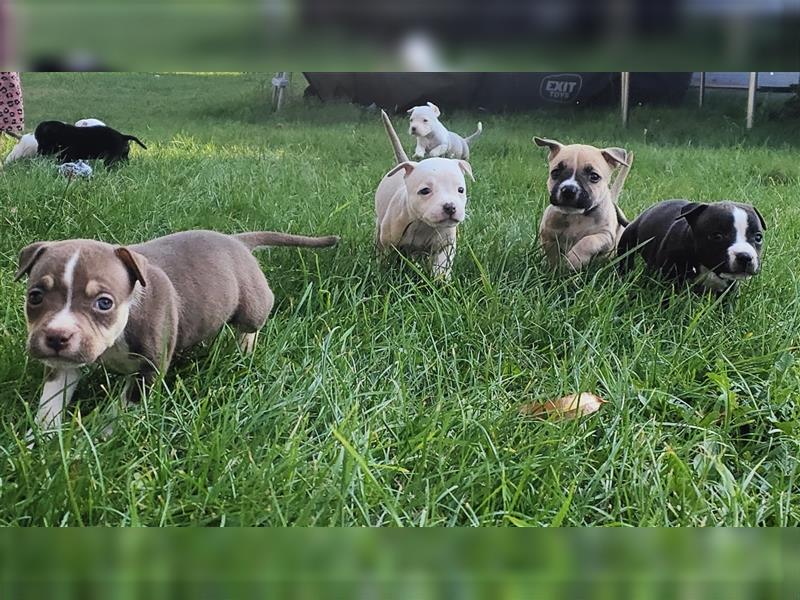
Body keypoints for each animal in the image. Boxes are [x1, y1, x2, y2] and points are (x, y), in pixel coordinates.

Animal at [18, 230, 338, 440]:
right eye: (35, 296)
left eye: (104, 303)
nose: (57, 337)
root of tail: (237, 240)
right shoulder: (64, 365)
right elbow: (52, 398)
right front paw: (41, 437)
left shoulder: (149, 369)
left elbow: (126, 405)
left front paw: (104, 433)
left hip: (253, 306)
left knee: (251, 325)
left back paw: (243, 350)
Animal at [376, 111, 476, 280]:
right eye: (425, 191)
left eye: (461, 190)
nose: (450, 207)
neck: (423, 224)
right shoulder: (388, 242)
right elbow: (386, 257)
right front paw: (382, 271)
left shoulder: (445, 245)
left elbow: (442, 263)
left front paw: (440, 279)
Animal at [616, 200, 764, 294]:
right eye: (717, 236)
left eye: (758, 237)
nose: (745, 256)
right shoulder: (668, 279)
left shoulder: (729, 290)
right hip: (628, 240)